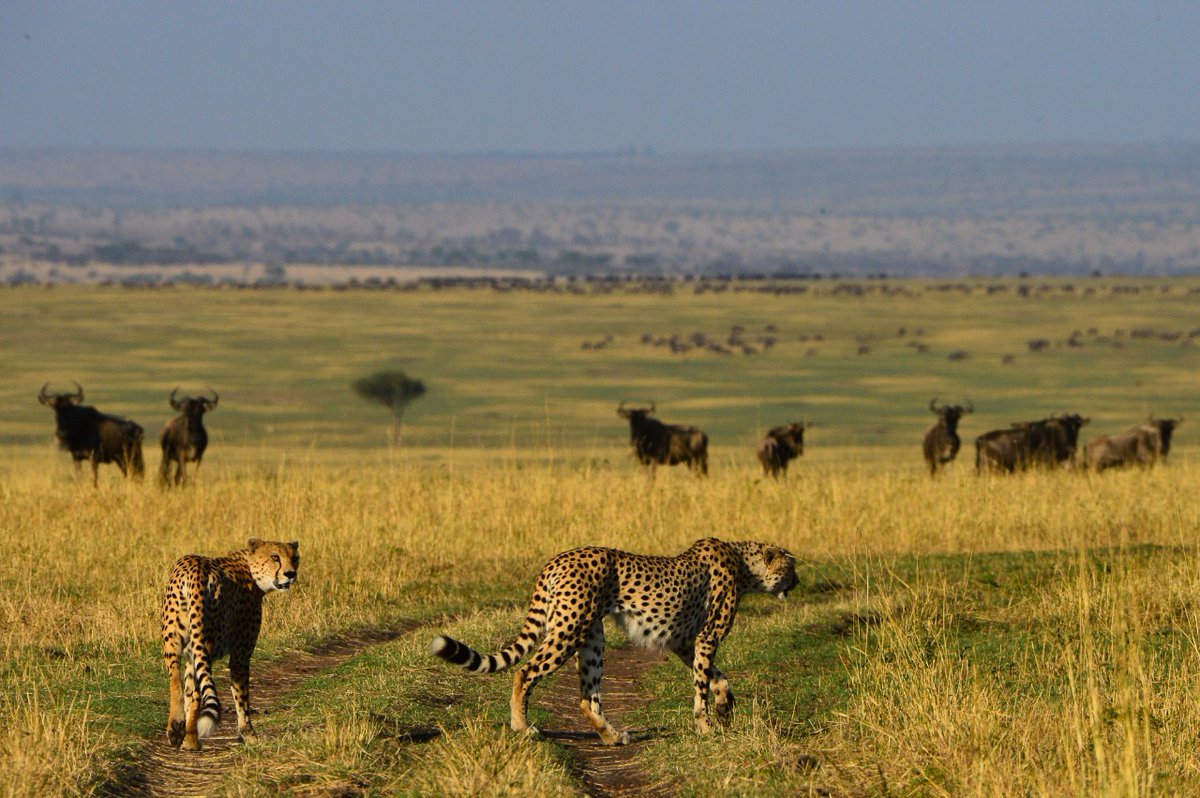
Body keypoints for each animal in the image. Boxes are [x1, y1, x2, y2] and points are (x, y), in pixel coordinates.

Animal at [161, 538, 300, 751]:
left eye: (295, 558)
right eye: (275, 557)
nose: (291, 574)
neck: (250, 568)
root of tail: (194, 565)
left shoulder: (189, 652)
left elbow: (187, 689)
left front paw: (185, 736)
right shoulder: (240, 655)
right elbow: (242, 697)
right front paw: (249, 735)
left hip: (174, 640)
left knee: (177, 681)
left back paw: (177, 729)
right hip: (205, 643)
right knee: (197, 692)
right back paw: (191, 740)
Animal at [430, 537, 797, 745]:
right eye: (789, 567)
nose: (797, 581)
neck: (745, 566)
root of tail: (557, 559)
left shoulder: (685, 642)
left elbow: (717, 678)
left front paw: (724, 708)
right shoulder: (706, 638)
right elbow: (702, 686)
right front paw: (706, 726)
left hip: (592, 635)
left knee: (587, 697)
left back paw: (612, 736)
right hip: (569, 629)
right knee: (525, 672)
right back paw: (522, 726)